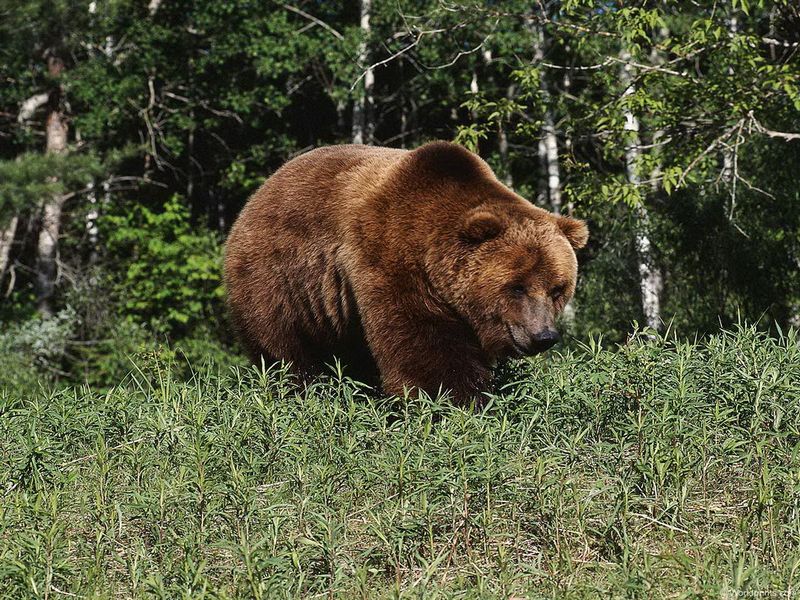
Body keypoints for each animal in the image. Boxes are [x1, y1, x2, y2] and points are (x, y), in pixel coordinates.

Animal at [223, 141, 588, 404]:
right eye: (517, 286)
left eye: (558, 289)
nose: (543, 336)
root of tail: (257, 195)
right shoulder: (391, 260)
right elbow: (423, 348)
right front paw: (455, 401)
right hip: (280, 280)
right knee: (285, 349)